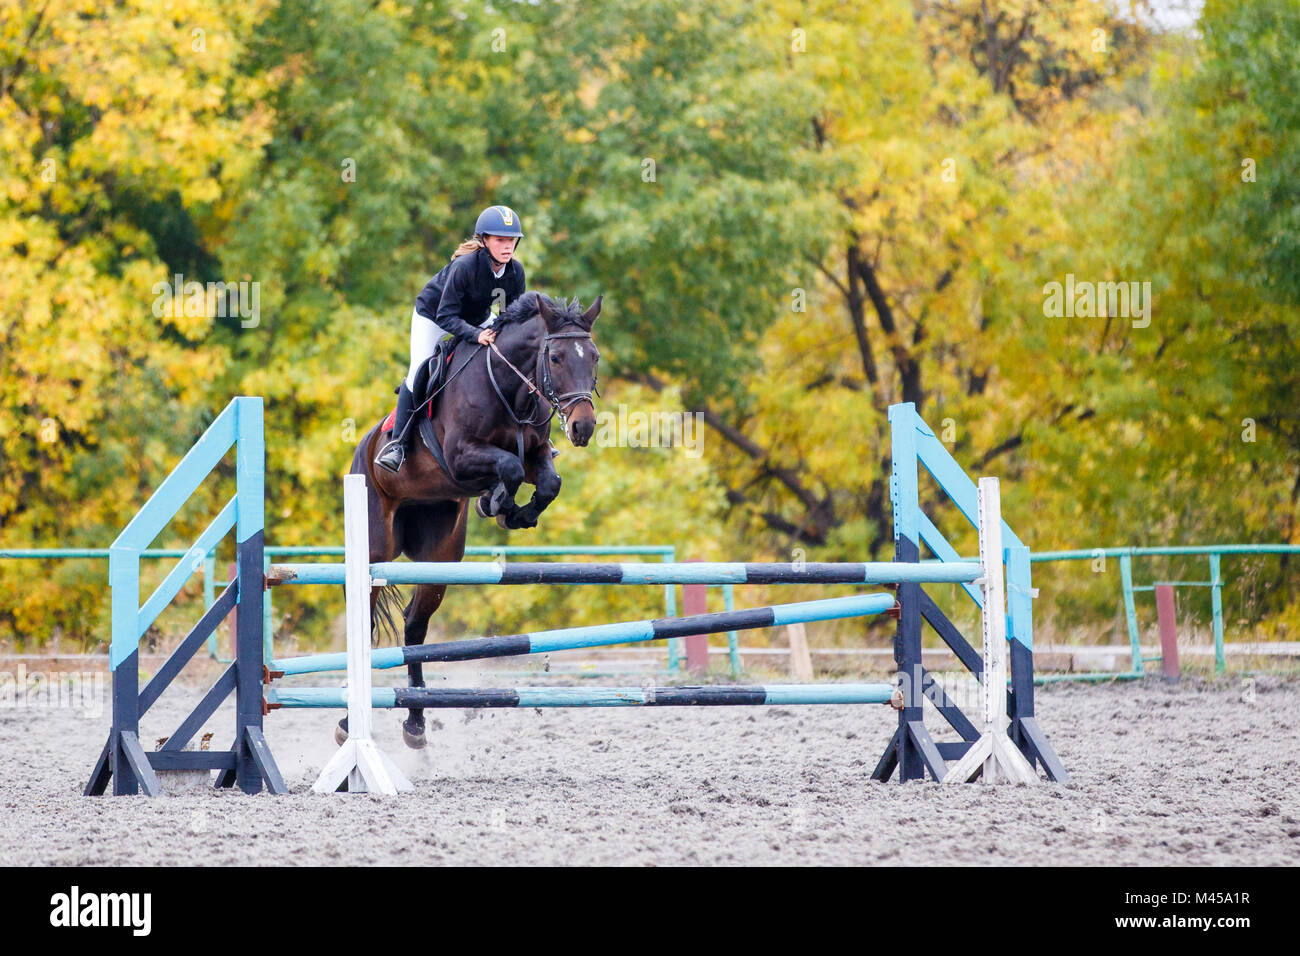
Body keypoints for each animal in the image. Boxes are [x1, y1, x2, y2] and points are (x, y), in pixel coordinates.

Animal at [344, 291, 602, 748]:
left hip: (440, 557)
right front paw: (497, 502)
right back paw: (346, 724)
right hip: (375, 547)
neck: (510, 389)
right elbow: (509, 468)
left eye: (594, 357)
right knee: (369, 614)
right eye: (554, 357)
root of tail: (366, 447)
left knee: (415, 627)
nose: (583, 426)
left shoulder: (535, 453)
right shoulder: (461, 457)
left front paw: (513, 511)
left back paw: (415, 723)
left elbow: (548, 481)